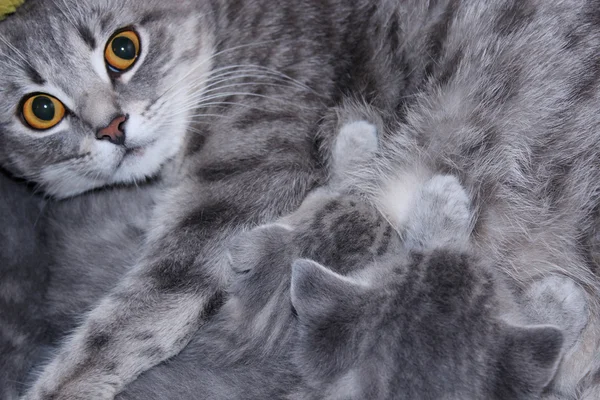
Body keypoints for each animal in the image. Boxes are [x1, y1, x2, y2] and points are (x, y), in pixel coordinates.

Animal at [1, 0, 600, 398]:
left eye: (123, 48)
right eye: (40, 110)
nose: (111, 126)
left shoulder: (242, 186)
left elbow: (130, 320)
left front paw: (62, 385)